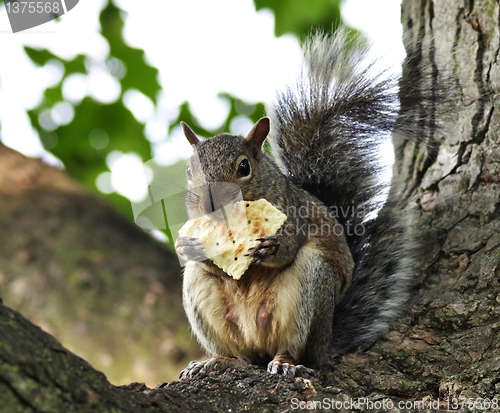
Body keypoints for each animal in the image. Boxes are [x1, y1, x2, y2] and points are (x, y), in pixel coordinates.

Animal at [176, 28, 418, 376]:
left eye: (244, 167)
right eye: (188, 170)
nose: (209, 205)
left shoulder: (294, 213)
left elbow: (288, 248)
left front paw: (271, 246)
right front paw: (187, 247)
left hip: (312, 285)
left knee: (295, 348)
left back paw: (286, 363)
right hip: (204, 299)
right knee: (238, 354)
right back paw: (216, 361)